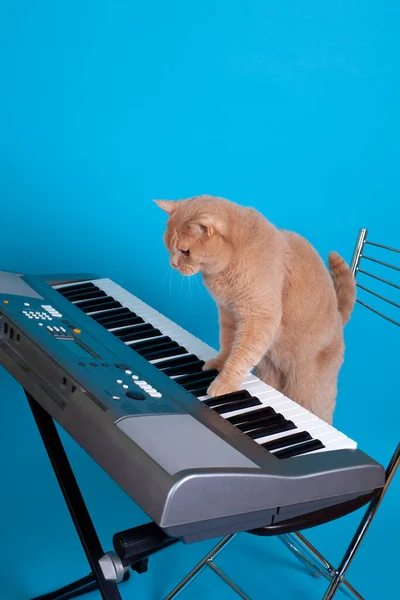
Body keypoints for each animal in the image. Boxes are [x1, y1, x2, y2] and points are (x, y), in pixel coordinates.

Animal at [155, 195, 354, 424]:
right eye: (169, 247)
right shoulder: (228, 313)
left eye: (185, 251)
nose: (173, 264)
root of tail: (339, 317)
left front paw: (224, 384)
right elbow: (228, 345)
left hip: (307, 391)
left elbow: (241, 355)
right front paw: (220, 364)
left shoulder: (258, 318)